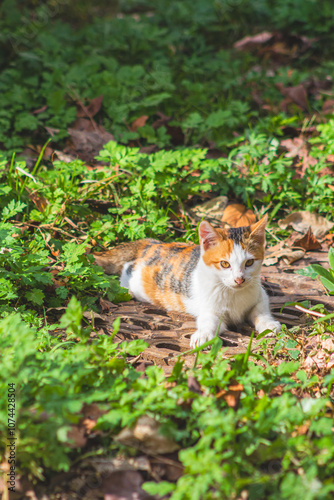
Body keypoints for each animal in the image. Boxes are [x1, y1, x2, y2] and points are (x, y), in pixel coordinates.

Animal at [92, 215, 280, 348]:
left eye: (249, 262)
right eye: (225, 264)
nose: (239, 279)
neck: (233, 293)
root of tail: (152, 244)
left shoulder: (260, 294)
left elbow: (260, 310)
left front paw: (268, 324)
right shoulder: (209, 308)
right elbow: (209, 321)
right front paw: (203, 334)